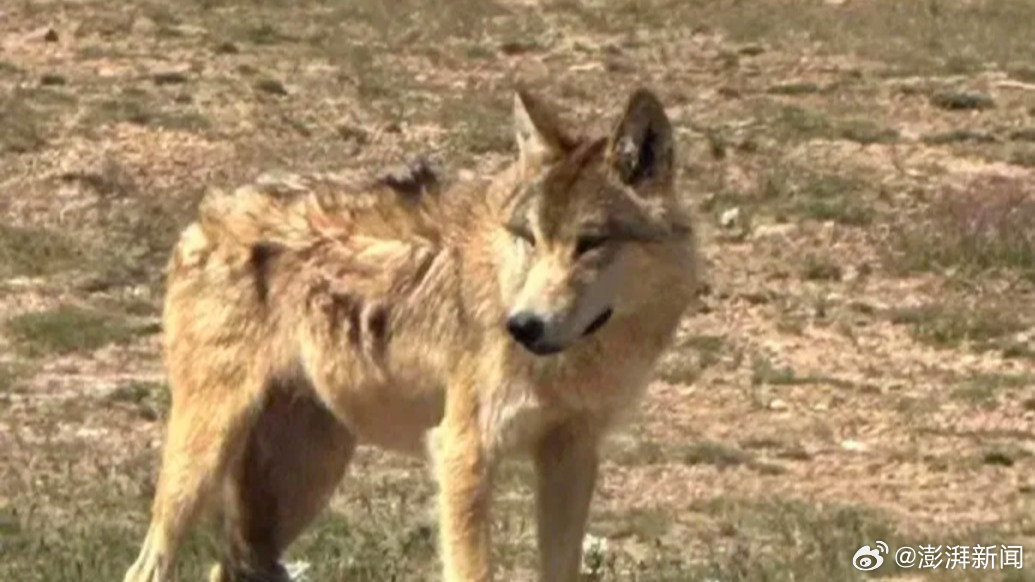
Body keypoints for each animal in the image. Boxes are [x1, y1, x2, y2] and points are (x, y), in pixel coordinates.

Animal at [125, 85, 699, 579]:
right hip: (202, 461)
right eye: (530, 237)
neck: (576, 362)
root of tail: (207, 212)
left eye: (590, 243)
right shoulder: (462, 453)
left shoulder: (571, 456)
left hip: (306, 481)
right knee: (147, 566)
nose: (522, 325)